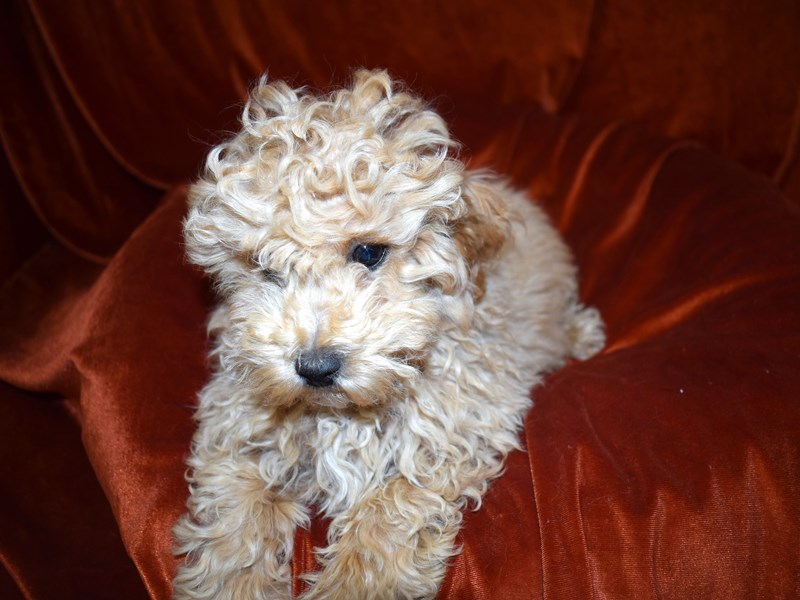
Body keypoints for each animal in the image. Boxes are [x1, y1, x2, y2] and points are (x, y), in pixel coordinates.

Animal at [172, 68, 604, 596]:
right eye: (263, 266)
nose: (316, 367)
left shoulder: (450, 434)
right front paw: (233, 578)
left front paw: (349, 582)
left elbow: (386, 514)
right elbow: (236, 520)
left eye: (369, 253)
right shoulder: (236, 432)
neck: (341, 415)